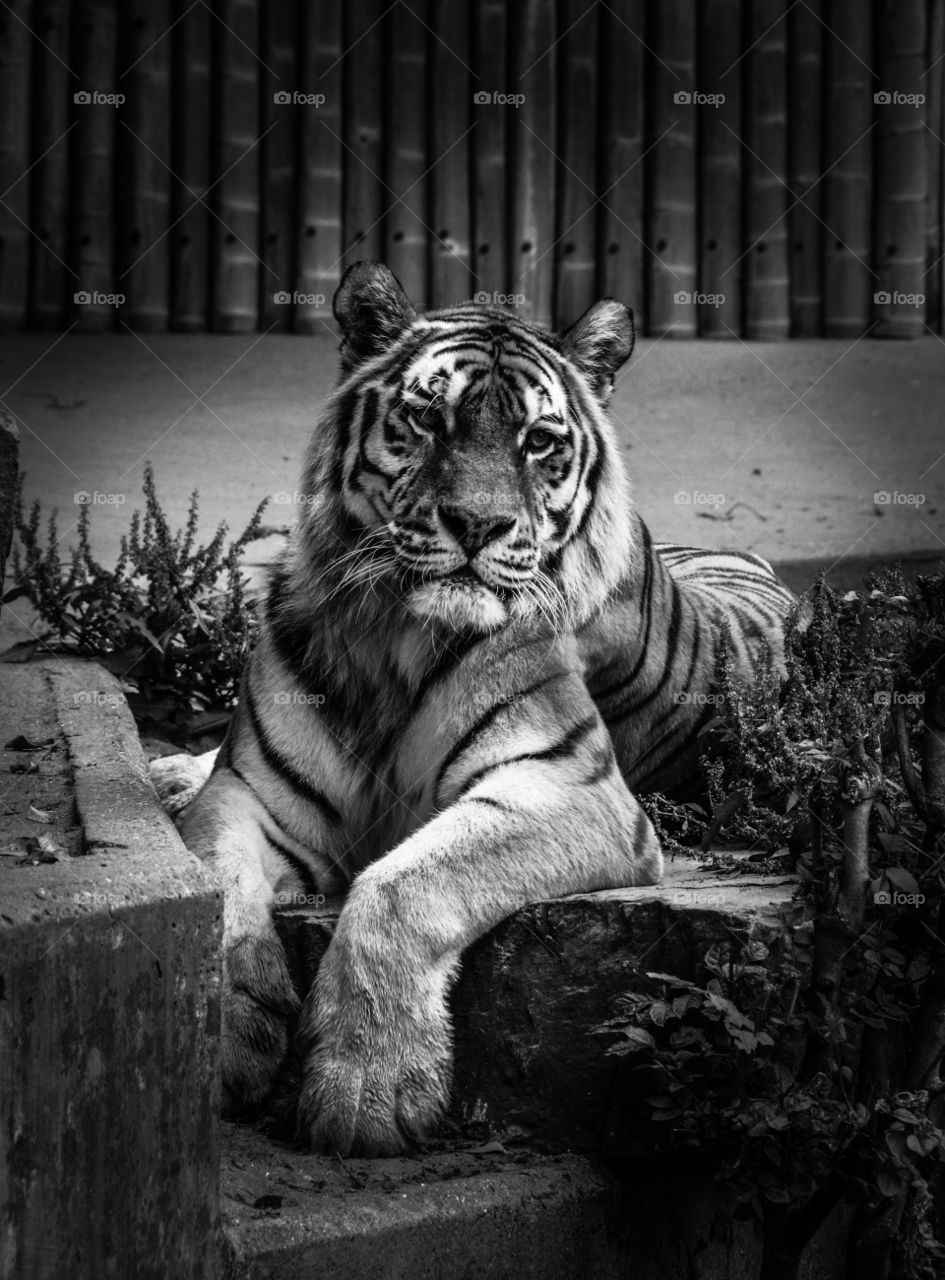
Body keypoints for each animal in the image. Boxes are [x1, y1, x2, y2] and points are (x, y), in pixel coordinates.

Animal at [152, 260, 796, 1157]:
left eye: (539, 441)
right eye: (427, 418)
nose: (476, 524)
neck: (388, 634)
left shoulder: (568, 790)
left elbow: (399, 887)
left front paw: (370, 1088)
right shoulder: (249, 795)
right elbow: (218, 890)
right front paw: (228, 1037)